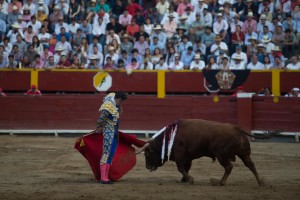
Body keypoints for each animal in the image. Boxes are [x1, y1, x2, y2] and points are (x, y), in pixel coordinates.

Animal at [137, 119, 280, 186]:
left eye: (147, 154)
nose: (147, 166)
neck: (169, 138)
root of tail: (236, 128)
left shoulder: (180, 156)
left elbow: (181, 168)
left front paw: (190, 179)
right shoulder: (188, 157)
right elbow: (186, 168)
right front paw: (184, 180)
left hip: (221, 155)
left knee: (229, 167)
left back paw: (220, 182)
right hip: (244, 154)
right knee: (251, 165)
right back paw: (260, 182)